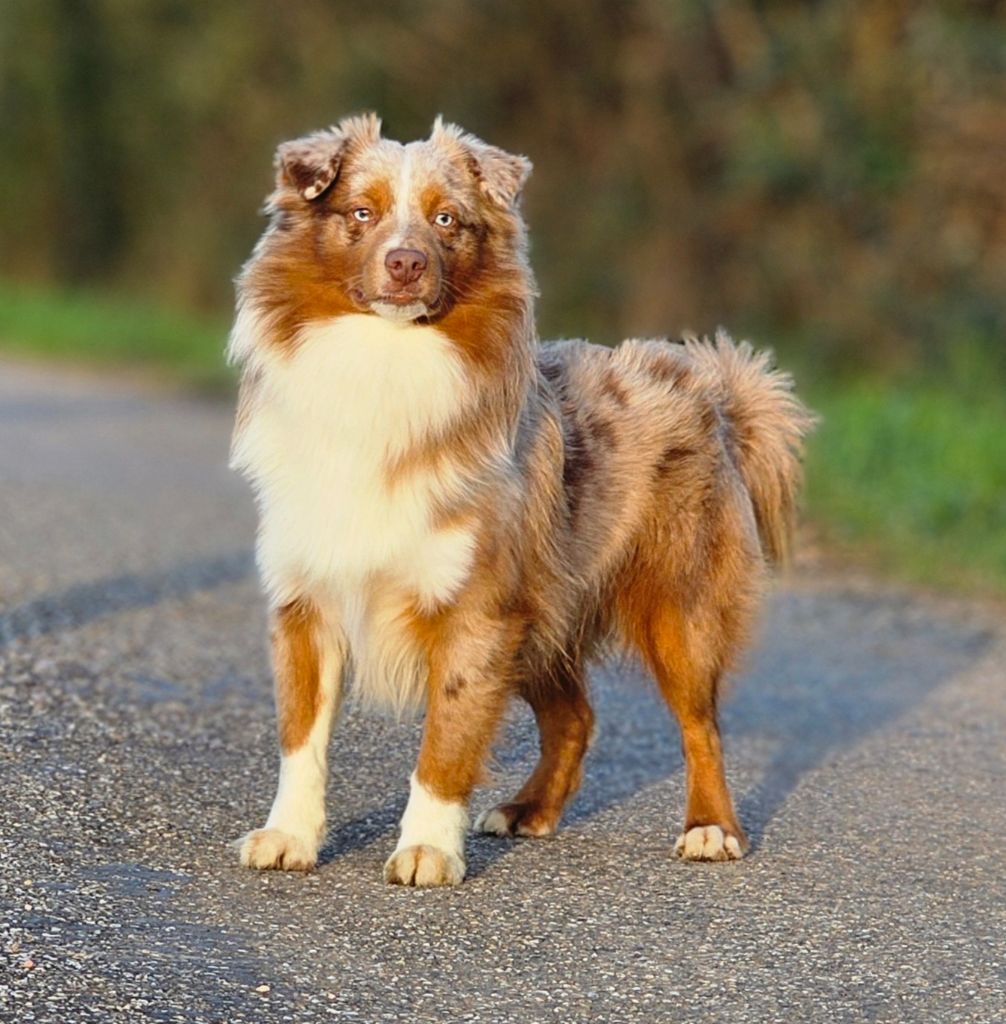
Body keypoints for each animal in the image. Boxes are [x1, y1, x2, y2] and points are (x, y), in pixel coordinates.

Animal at [224, 110, 815, 880]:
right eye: (361, 212)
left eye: (446, 218)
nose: (406, 263)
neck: (385, 363)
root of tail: (713, 387)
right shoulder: (308, 596)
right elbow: (301, 736)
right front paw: (289, 835)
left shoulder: (476, 606)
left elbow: (446, 740)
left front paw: (426, 849)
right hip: (543, 610)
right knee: (576, 716)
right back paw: (529, 810)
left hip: (674, 604)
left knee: (701, 723)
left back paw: (711, 828)